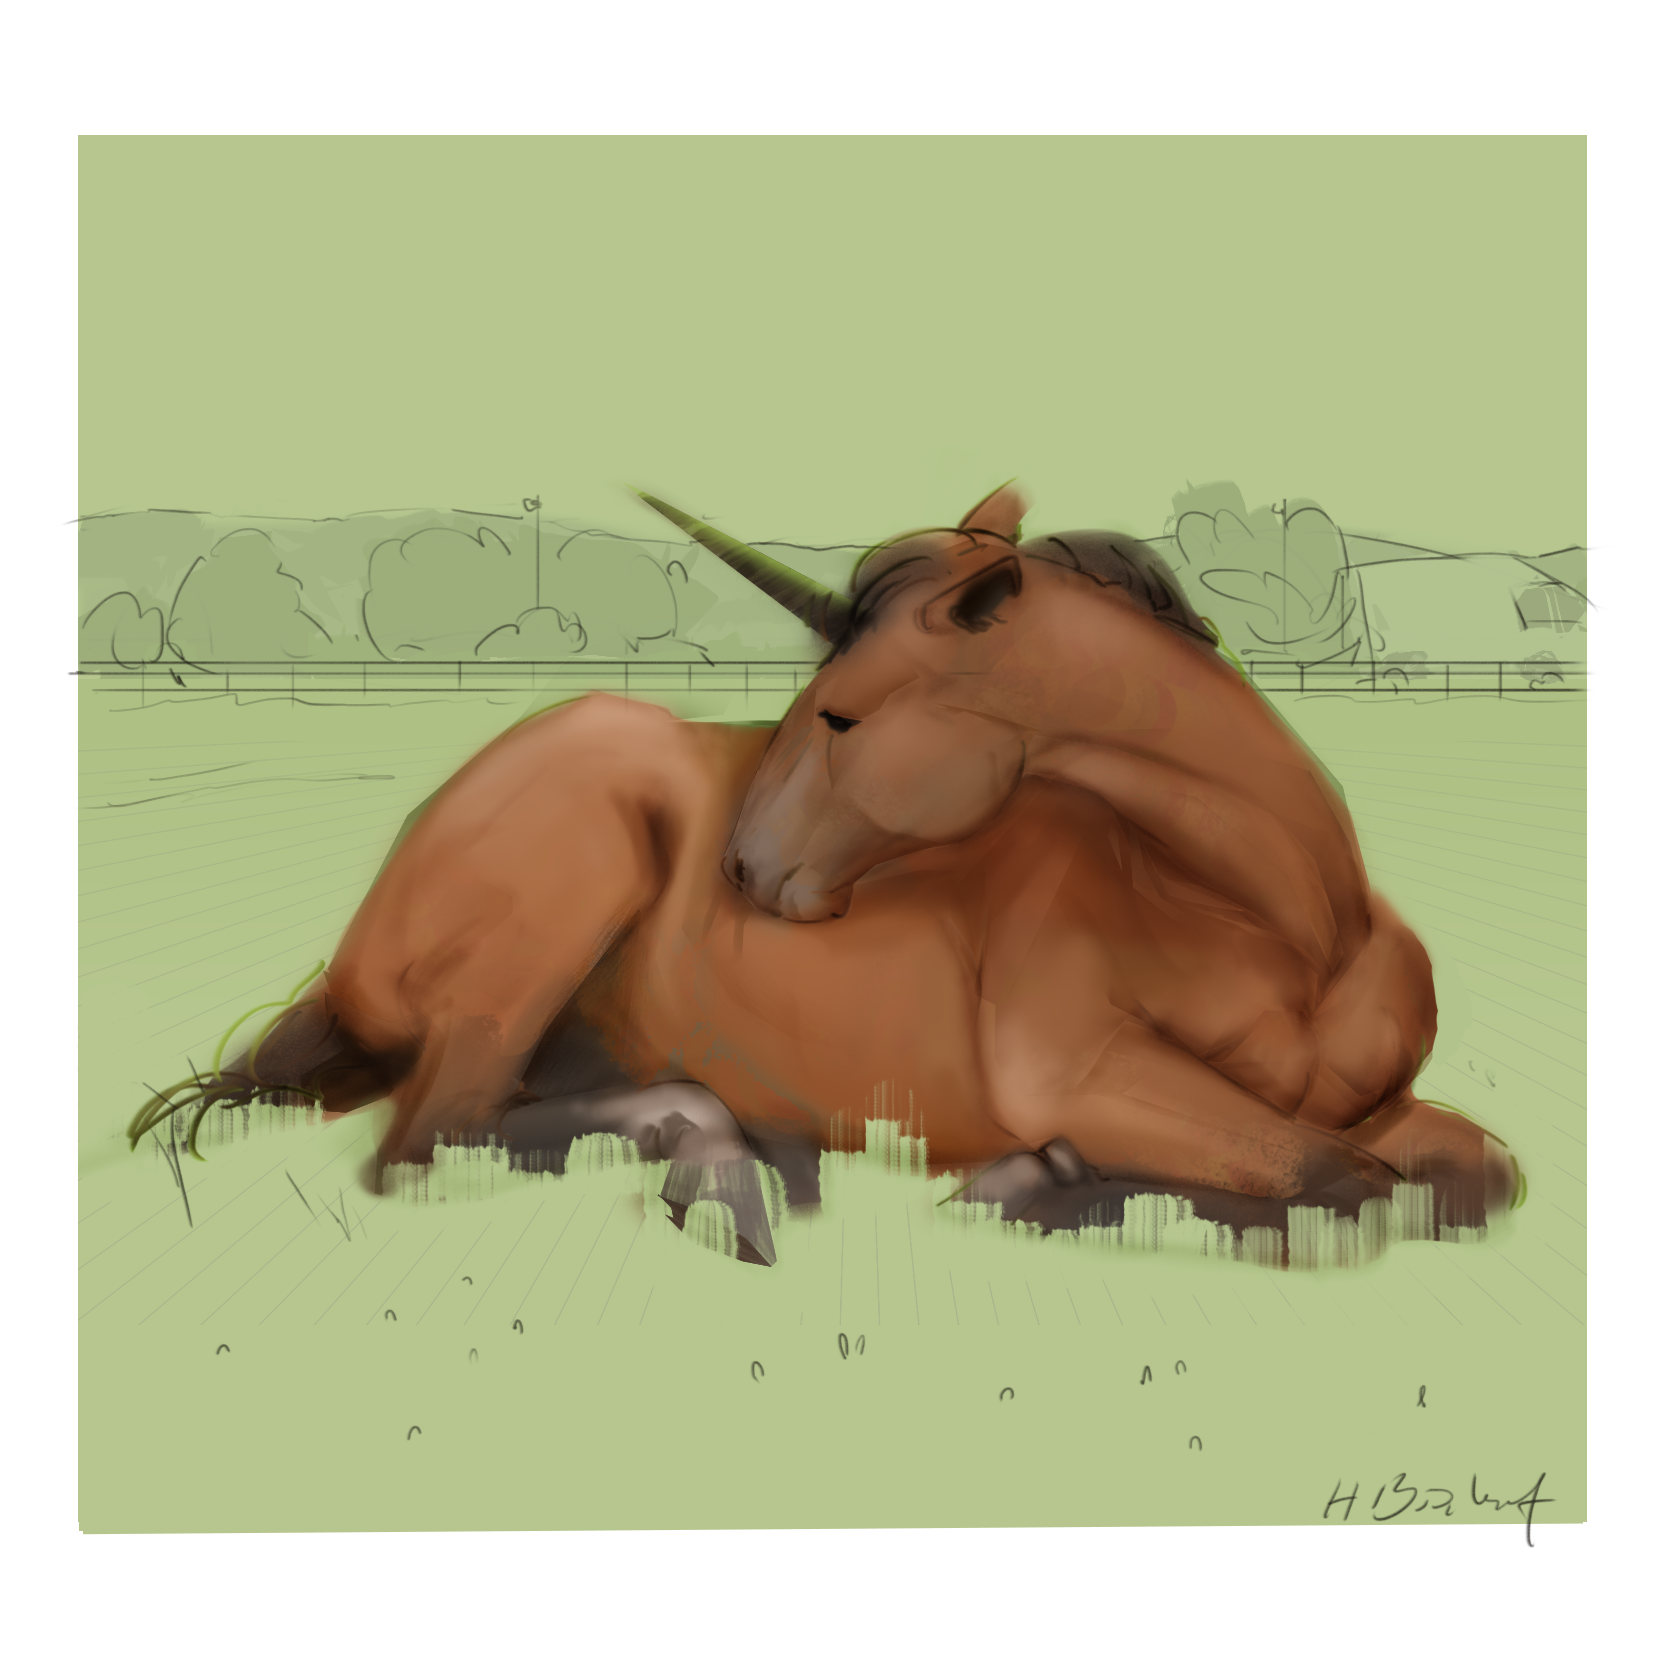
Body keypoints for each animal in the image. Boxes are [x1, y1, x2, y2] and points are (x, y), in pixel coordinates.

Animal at [131, 482, 1521, 1265]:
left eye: (845, 713)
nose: (744, 868)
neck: (1284, 929)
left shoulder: (1373, 1105)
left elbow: (1465, 1172)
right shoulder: (1086, 1076)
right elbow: (1334, 1181)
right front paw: (1038, 1181)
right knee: (433, 1140)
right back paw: (722, 1173)